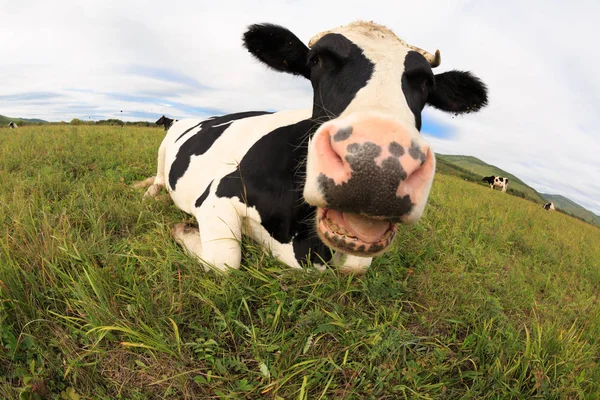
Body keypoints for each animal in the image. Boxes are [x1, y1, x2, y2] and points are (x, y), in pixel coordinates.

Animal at [137, 20, 488, 274]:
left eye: (427, 82)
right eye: (316, 60)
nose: (378, 168)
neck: (301, 239)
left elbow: (355, 267)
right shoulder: (218, 194)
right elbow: (224, 262)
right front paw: (183, 229)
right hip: (164, 148)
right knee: (159, 179)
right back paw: (148, 194)